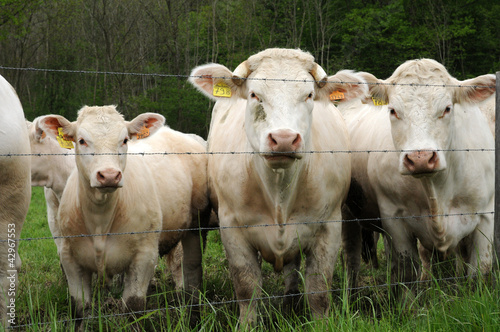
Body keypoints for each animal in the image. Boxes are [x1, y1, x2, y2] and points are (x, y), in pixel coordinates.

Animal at [188, 48, 368, 326]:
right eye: (254, 94)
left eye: (309, 95)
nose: (284, 139)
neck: (279, 193)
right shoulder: (232, 229)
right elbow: (246, 289)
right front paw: (247, 327)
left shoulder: (329, 226)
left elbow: (319, 291)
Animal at [342, 59, 494, 286]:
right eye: (393, 110)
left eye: (447, 108)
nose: (420, 158)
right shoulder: (394, 220)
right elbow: (407, 272)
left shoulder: (485, 217)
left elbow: (480, 273)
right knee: (351, 257)